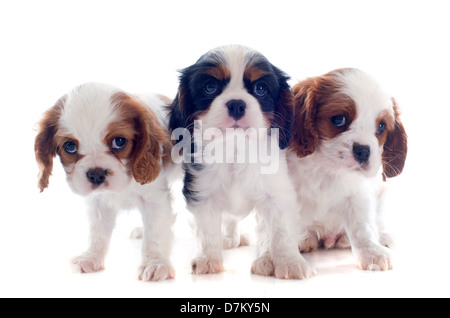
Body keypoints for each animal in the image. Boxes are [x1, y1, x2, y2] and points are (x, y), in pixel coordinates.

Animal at [34, 82, 176, 280]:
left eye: (119, 141)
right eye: (69, 146)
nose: (96, 174)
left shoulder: (155, 198)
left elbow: (156, 232)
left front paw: (155, 263)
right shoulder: (98, 203)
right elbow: (98, 232)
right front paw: (91, 257)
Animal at [167, 44, 314, 278]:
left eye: (260, 89)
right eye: (210, 87)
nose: (236, 104)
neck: (235, 149)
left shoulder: (277, 195)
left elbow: (281, 233)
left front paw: (290, 263)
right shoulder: (201, 193)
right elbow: (206, 230)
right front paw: (207, 258)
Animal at [288, 67, 408, 270]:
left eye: (381, 127)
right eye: (338, 119)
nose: (363, 151)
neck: (327, 169)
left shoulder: (358, 196)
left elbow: (363, 227)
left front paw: (372, 252)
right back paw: (304, 238)